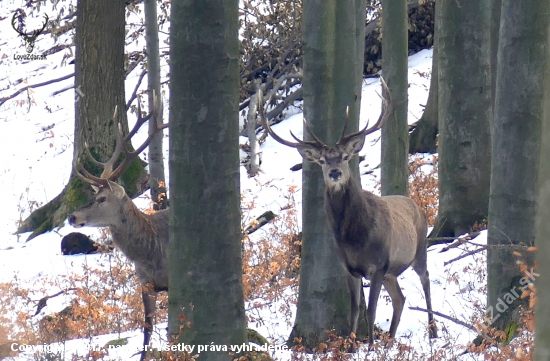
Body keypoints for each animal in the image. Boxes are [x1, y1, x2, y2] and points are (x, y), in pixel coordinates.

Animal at [264, 78, 440, 344]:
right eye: (322, 161)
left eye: (346, 157)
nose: (335, 172)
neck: (354, 237)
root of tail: (417, 206)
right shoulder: (350, 269)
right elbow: (354, 310)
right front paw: (352, 344)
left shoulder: (378, 264)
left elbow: (371, 309)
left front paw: (369, 345)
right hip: (391, 272)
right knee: (400, 298)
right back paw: (390, 339)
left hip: (418, 250)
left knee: (426, 279)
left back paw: (433, 331)